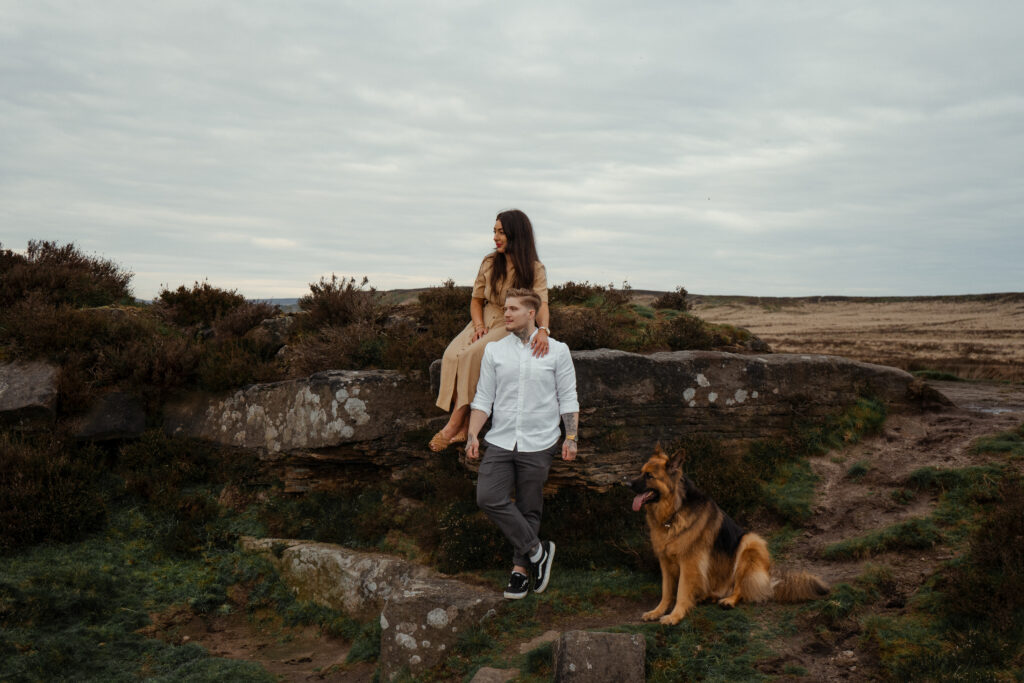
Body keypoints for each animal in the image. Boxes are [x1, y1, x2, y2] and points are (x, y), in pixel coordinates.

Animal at [626, 444, 827, 626]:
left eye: (649, 476)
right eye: (641, 472)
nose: (627, 484)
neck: (673, 513)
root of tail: (770, 579)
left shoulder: (689, 563)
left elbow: (682, 591)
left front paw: (674, 616)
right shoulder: (665, 562)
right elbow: (666, 591)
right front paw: (657, 611)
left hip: (750, 542)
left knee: (742, 587)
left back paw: (729, 600)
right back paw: (708, 597)